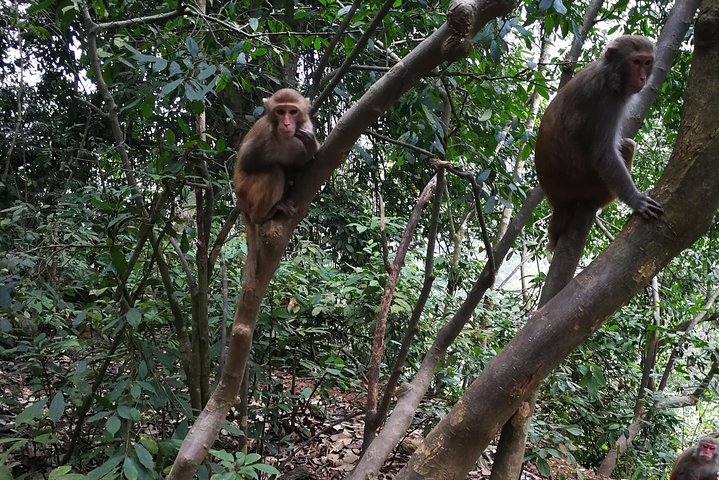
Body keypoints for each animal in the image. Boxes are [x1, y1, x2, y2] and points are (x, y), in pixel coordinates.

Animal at [233, 88, 319, 225]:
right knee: (274, 171)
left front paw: (311, 148)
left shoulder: (307, 128)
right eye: (280, 112)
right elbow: (246, 163)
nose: (287, 124)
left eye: (293, 112)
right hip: (245, 191)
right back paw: (261, 216)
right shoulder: (263, 134)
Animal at [534, 35, 664, 251]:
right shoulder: (607, 101)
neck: (610, 73)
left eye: (647, 63)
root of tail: (558, 198)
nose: (643, 78)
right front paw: (636, 200)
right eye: (636, 62)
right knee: (627, 147)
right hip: (589, 185)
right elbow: (603, 154)